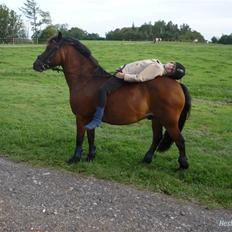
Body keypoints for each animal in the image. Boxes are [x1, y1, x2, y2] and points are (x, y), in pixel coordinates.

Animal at [33, 31, 191, 169]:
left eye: (51, 48)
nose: (36, 65)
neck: (86, 80)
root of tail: (177, 84)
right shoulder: (89, 118)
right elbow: (91, 136)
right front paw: (90, 156)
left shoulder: (81, 117)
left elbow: (80, 137)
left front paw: (75, 158)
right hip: (157, 119)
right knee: (157, 138)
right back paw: (146, 159)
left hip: (169, 121)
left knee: (180, 140)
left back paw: (183, 165)